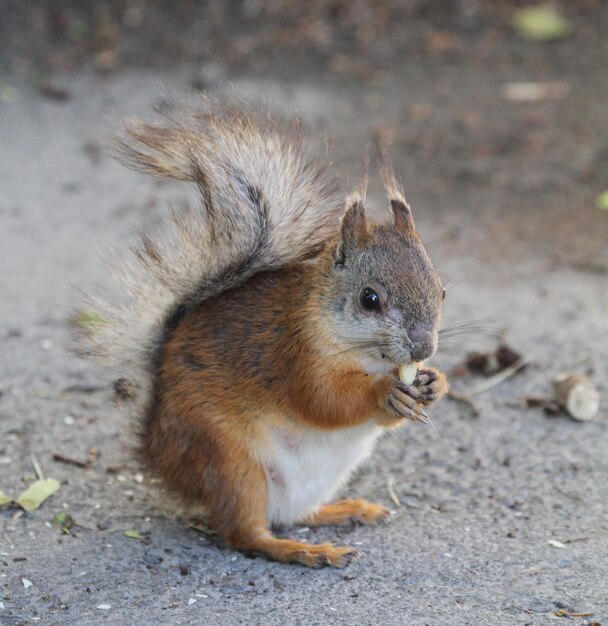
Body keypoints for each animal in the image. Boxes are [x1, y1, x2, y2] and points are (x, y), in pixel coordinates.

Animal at [75, 97, 446, 564]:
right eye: (370, 299)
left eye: (443, 290)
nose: (422, 347)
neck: (366, 355)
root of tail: (159, 454)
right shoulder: (292, 352)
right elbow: (324, 400)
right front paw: (385, 392)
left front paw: (435, 382)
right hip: (228, 459)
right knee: (246, 534)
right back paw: (302, 551)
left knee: (293, 514)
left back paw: (346, 510)